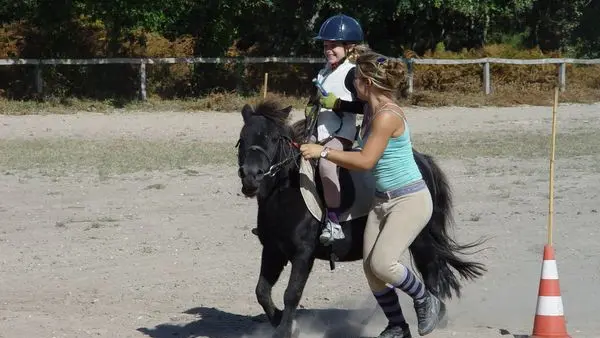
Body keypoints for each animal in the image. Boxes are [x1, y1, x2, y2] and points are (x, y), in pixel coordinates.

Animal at [237, 100, 486, 338]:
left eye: (273, 138)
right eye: (242, 138)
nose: (251, 176)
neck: (285, 195)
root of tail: (422, 160)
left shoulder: (303, 254)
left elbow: (291, 293)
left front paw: (285, 330)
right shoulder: (273, 250)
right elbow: (262, 291)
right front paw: (280, 319)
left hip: (420, 239)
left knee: (430, 271)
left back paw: (432, 315)